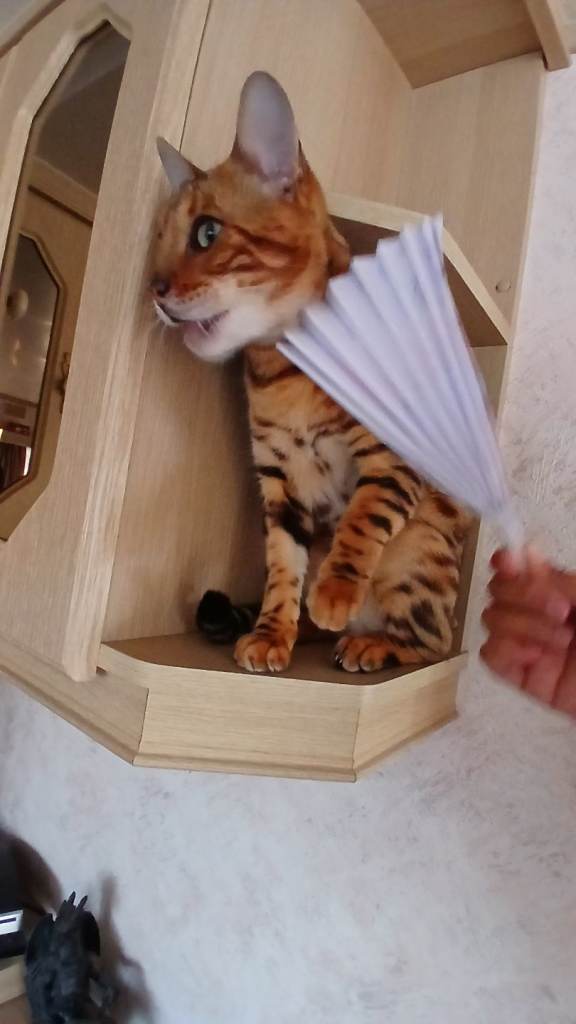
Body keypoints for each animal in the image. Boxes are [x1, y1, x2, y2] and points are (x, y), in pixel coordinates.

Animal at [152, 71, 469, 675]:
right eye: (157, 243)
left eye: (206, 233)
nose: (153, 288)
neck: (284, 373)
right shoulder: (279, 481)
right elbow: (282, 566)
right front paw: (273, 633)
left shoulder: (393, 454)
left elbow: (364, 516)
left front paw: (336, 589)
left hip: (417, 549)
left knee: (433, 641)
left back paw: (370, 640)